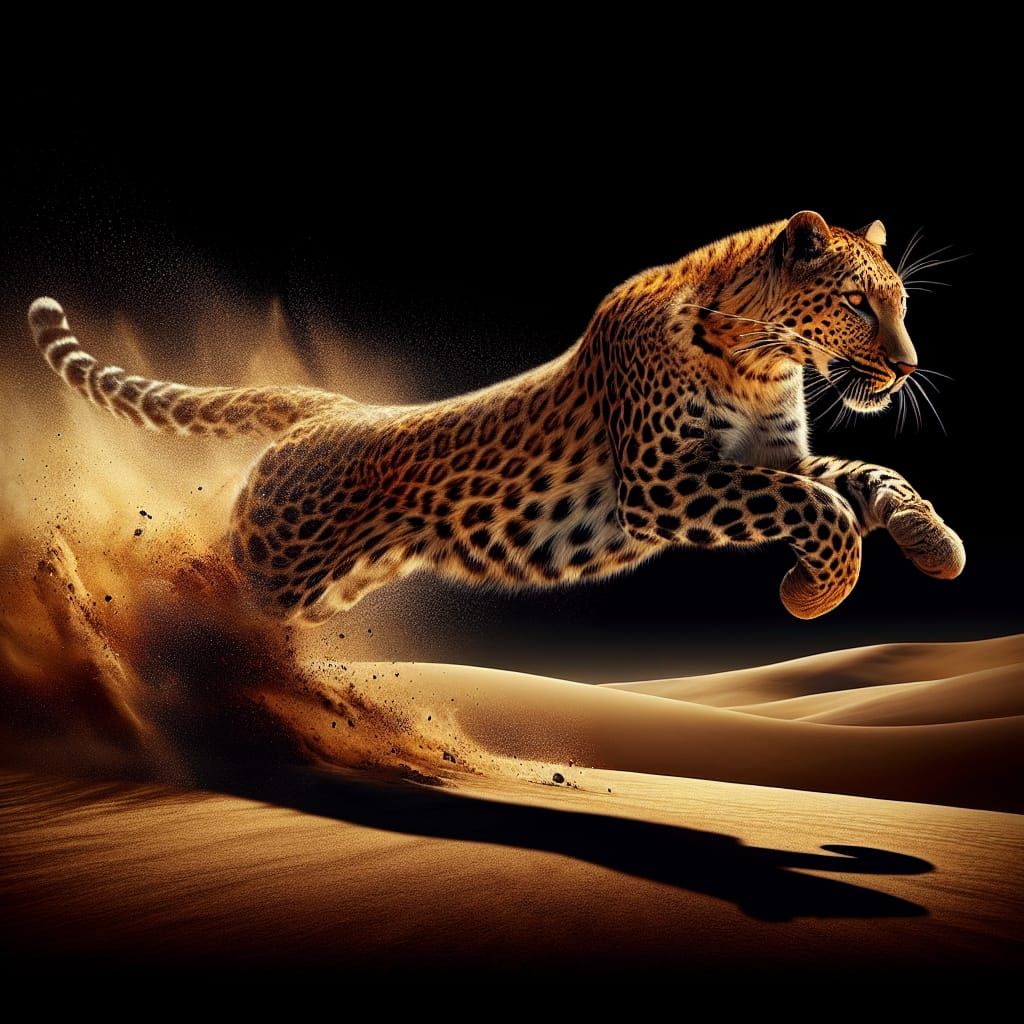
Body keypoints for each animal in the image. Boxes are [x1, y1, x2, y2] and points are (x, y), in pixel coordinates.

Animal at [28, 210, 964, 624]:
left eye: (902, 303)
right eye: (857, 303)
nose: (908, 366)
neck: (759, 359)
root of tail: (331, 410)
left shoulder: (768, 457)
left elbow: (865, 477)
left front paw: (935, 545)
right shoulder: (662, 485)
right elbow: (822, 508)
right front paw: (813, 594)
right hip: (270, 565)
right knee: (206, 586)